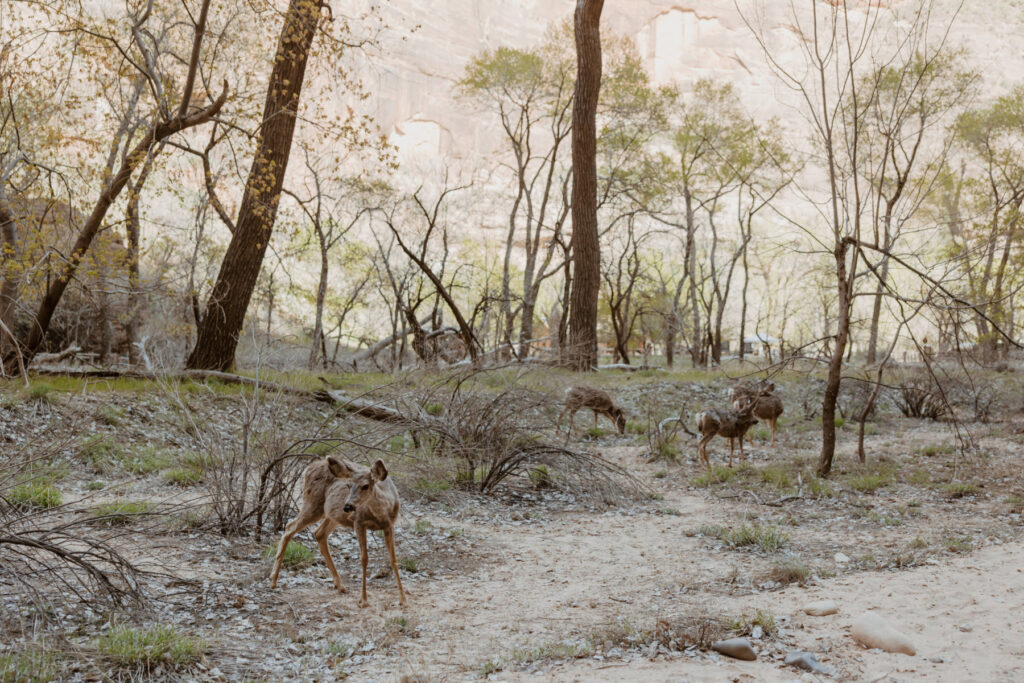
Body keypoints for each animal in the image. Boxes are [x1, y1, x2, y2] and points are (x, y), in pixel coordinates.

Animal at [272, 458, 407, 610]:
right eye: (348, 485)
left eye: (365, 486)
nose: (348, 506)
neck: (381, 512)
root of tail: (309, 467)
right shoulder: (358, 523)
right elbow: (364, 559)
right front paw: (363, 600)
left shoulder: (389, 525)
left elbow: (393, 560)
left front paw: (403, 600)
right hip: (313, 503)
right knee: (290, 527)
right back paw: (273, 581)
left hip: (333, 515)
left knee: (319, 533)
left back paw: (340, 585)